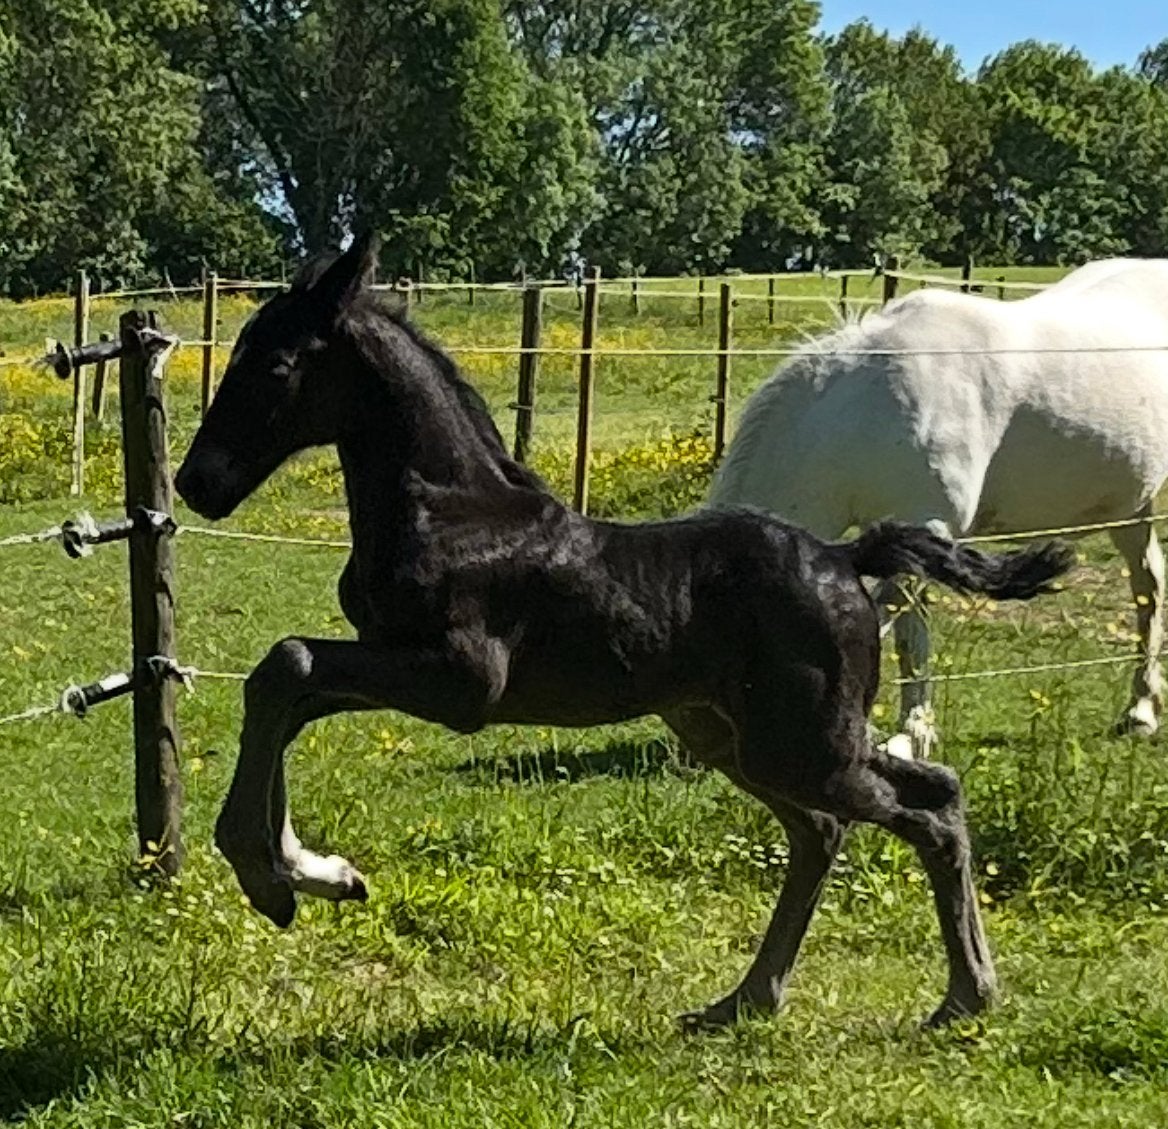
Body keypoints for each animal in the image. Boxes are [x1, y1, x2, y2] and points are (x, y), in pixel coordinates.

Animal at [174, 234, 1071, 1029]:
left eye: (275, 364)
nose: (195, 482)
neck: (452, 508)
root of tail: (847, 557)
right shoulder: (394, 663)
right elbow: (285, 693)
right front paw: (312, 870)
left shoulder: (461, 680)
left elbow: (287, 665)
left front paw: (266, 872)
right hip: (735, 735)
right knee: (834, 826)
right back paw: (750, 999)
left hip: (803, 743)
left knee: (925, 805)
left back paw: (961, 996)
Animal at [711, 259, 1168, 758]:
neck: (866, 408)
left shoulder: (927, 526)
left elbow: (903, 627)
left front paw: (910, 735)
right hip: (1131, 508)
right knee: (1149, 587)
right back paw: (1141, 711)